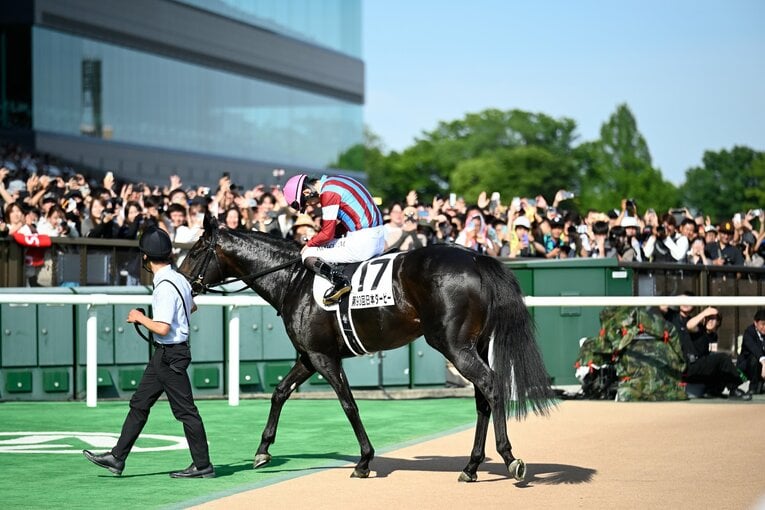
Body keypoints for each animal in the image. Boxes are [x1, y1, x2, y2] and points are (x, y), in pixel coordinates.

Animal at [179, 216, 556, 482]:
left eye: (195, 251)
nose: (178, 279)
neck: (293, 280)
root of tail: (476, 258)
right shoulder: (308, 357)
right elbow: (279, 393)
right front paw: (262, 451)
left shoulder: (323, 357)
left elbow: (349, 404)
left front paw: (363, 460)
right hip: (471, 344)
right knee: (482, 397)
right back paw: (472, 466)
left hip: (452, 345)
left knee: (491, 385)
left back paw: (509, 458)